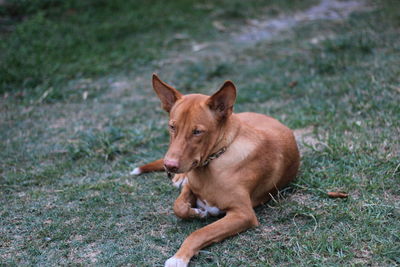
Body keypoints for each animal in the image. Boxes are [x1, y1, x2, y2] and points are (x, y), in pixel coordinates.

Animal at [133, 74, 298, 266]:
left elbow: (200, 233)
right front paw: (196, 212)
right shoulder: (190, 186)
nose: (169, 165)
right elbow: (178, 206)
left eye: (197, 132)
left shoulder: (243, 214)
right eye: (172, 127)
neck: (212, 162)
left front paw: (179, 257)